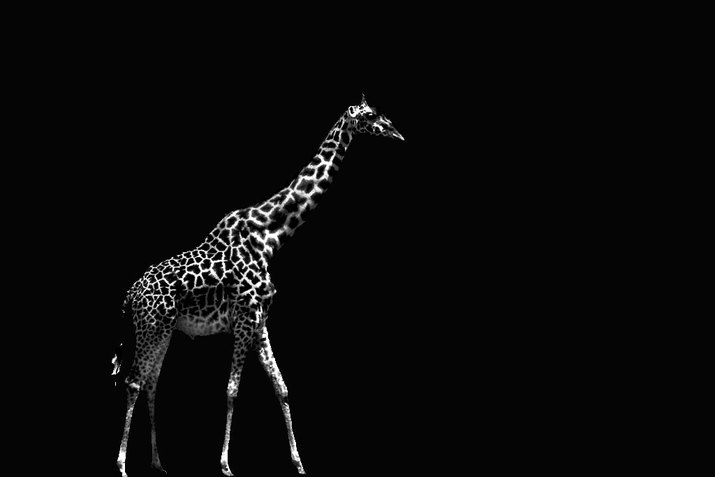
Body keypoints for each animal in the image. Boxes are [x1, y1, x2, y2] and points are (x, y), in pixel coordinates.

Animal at [113, 94, 404, 477]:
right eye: (371, 115)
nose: (396, 132)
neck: (270, 237)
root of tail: (131, 294)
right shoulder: (244, 318)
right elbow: (232, 390)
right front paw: (224, 464)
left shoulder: (260, 320)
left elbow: (281, 388)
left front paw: (299, 463)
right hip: (150, 327)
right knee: (134, 381)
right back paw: (121, 464)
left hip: (163, 330)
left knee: (151, 383)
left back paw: (158, 462)